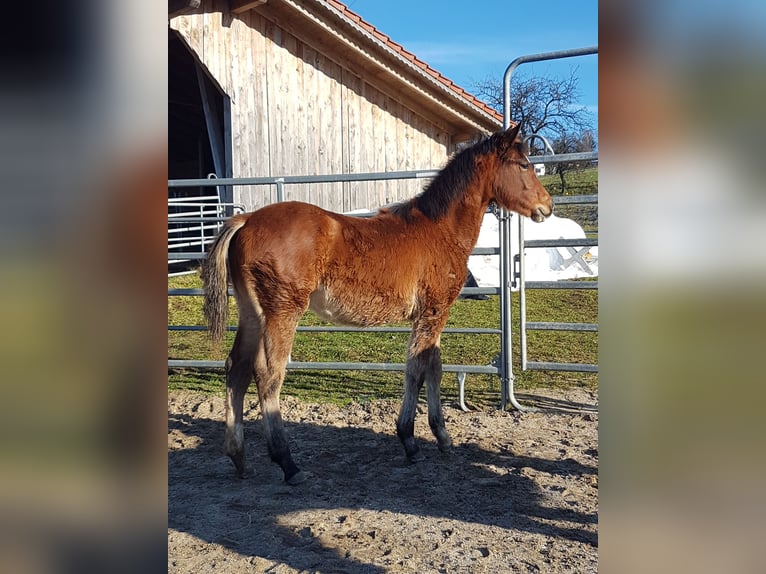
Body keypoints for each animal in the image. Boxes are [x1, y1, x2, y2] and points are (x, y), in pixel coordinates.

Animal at [202, 124, 552, 484]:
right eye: (523, 164)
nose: (547, 206)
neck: (438, 229)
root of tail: (246, 220)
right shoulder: (433, 313)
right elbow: (417, 370)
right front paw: (411, 440)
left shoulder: (431, 315)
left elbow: (434, 367)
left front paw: (441, 437)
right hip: (282, 312)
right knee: (268, 374)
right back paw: (288, 463)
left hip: (252, 314)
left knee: (236, 369)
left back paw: (239, 457)